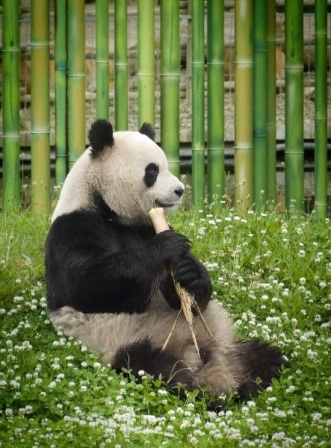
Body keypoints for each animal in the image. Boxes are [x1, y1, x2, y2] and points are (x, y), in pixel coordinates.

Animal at [45, 121, 286, 408]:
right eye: (152, 171)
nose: (180, 190)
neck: (107, 208)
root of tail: (201, 359)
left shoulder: (145, 227)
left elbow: (183, 297)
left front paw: (190, 274)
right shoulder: (73, 227)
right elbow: (88, 285)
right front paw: (168, 246)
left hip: (226, 345)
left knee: (267, 357)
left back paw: (249, 384)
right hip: (120, 338)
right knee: (154, 367)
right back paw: (205, 394)